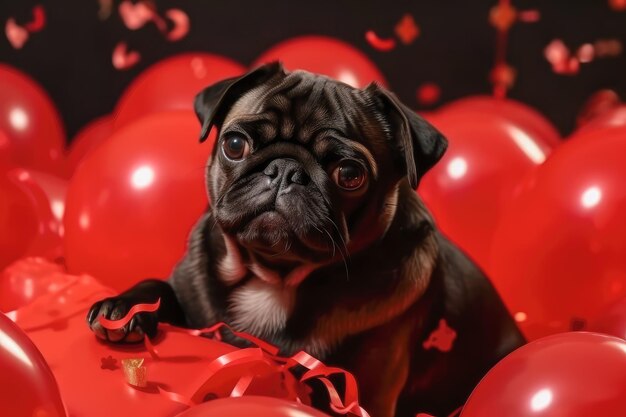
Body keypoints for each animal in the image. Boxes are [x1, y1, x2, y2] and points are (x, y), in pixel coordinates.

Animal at [85, 62, 524, 416]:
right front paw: (123, 308)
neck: (274, 276)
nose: (285, 170)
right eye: (234, 144)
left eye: (350, 174)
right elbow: (159, 287)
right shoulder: (188, 292)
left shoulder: (366, 392)